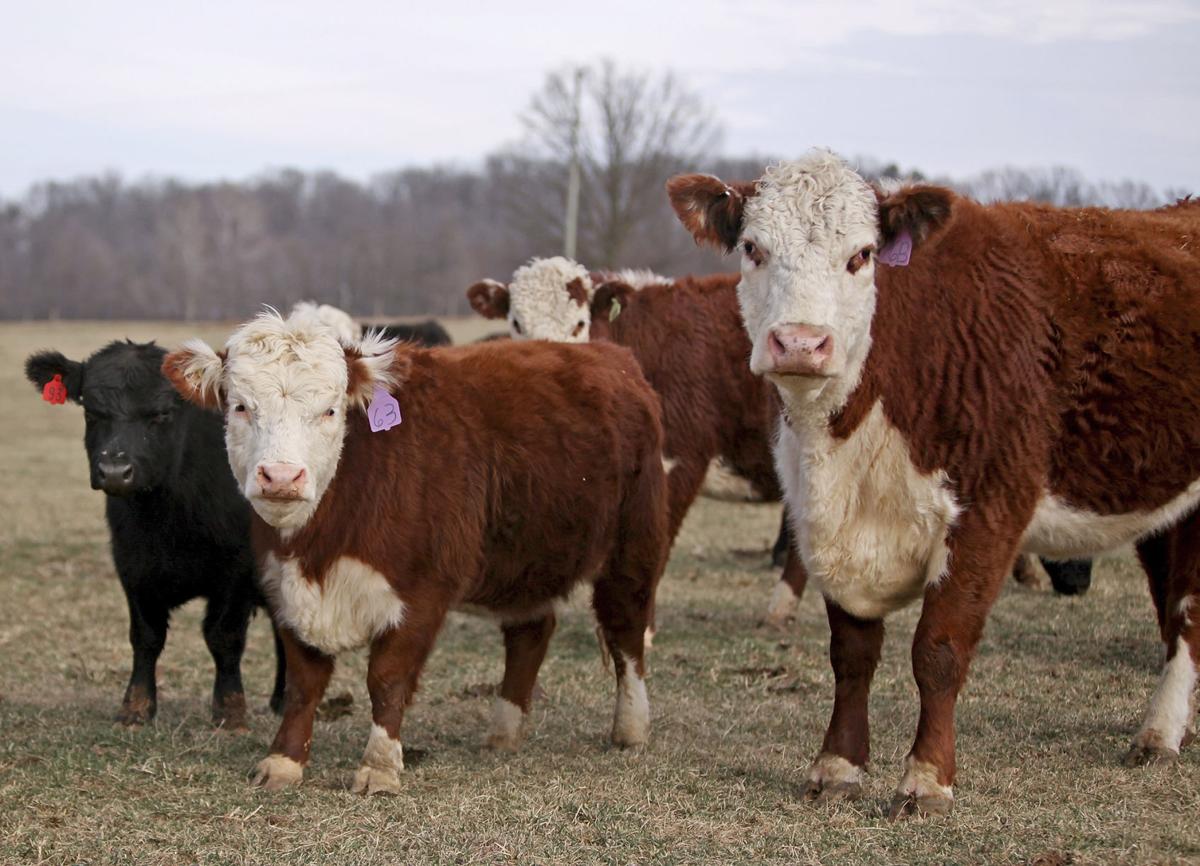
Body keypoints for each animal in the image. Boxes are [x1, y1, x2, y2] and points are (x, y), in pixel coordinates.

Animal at [24, 340, 286, 724]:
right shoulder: (132, 564)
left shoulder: (239, 570)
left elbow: (224, 637)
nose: (115, 471)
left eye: (162, 413)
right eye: (92, 411)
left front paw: (230, 710)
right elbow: (146, 637)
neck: (168, 519)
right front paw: (135, 707)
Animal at [160, 314, 672, 791]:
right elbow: (303, 683)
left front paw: (379, 768)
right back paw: (503, 733)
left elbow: (388, 680)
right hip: (525, 559)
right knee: (530, 633)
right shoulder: (284, 587)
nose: (281, 477)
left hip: (633, 546)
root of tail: (613, 359)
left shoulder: (422, 593)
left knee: (626, 631)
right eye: (240, 407)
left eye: (329, 411)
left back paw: (630, 729)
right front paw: (283, 761)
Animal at [672, 153, 1200, 815]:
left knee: (1187, 612)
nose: (799, 343)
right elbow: (852, 653)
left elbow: (939, 650)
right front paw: (837, 765)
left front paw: (926, 778)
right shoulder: (828, 523)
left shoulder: (987, 513)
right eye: (752, 248)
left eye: (862, 254)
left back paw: (1160, 732)